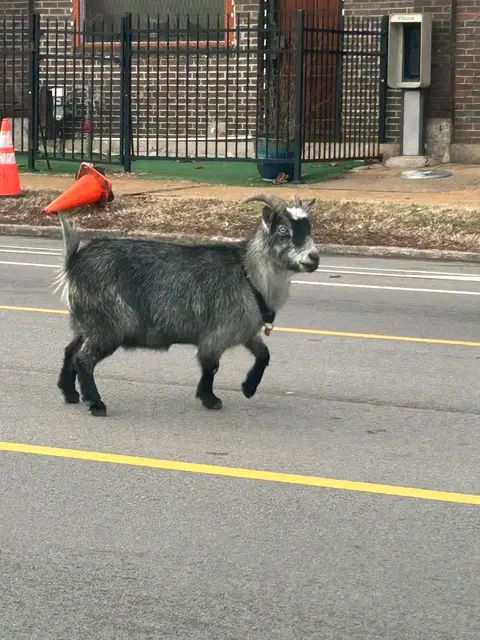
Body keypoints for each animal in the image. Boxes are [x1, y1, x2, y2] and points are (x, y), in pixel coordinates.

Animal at [55, 194, 319, 416]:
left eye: (309, 228)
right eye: (283, 230)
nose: (314, 258)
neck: (249, 275)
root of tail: (74, 261)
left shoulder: (244, 330)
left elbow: (264, 354)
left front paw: (248, 388)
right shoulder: (217, 333)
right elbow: (211, 366)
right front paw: (210, 399)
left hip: (86, 322)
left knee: (70, 351)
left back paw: (70, 393)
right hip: (109, 324)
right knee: (84, 359)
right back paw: (96, 403)